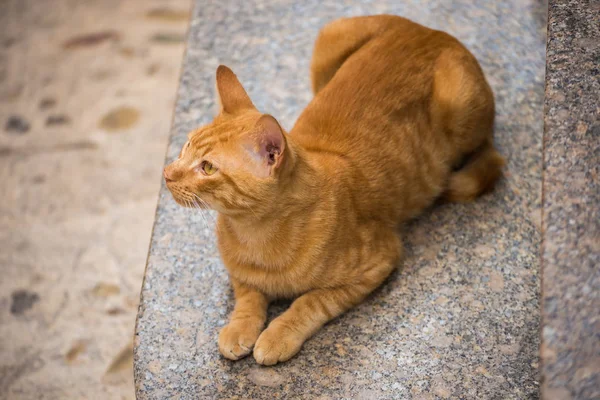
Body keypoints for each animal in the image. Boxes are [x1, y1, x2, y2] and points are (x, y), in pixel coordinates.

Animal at [163, 14, 502, 366]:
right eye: (185, 148)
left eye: (207, 167)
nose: (167, 174)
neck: (256, 234)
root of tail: (427, 30)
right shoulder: (240, 274)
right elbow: (247, 295)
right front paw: (240, 328)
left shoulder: (379, 262)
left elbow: (311, 302)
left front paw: (278, 334)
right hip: (329, 39)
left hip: (460, 106)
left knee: (488, 149)